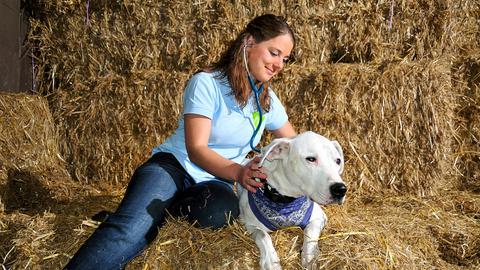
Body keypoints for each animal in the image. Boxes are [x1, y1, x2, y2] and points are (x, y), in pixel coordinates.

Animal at [238, 131, 346, 268]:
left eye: (338, 161)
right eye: (311, 159)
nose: (341, 189)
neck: (287, 201)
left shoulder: (319, 217)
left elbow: (310, 234)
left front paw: (310, 257)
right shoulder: (250, 224)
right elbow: (263, 236)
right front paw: (271, 262)